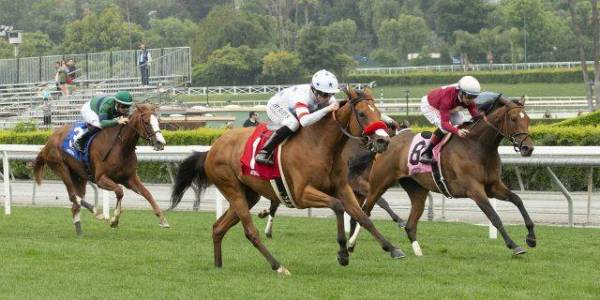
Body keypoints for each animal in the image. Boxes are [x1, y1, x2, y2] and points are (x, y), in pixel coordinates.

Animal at [32, 102, 169, 236]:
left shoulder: (130, 178)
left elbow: (147, 193)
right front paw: (114, 220)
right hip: (61, 167)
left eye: (158, 121)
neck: (121, 147)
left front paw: (163, 219)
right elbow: (119, 191)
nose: (160, 143)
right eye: (146, 122)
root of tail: (48, 143)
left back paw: (80, 232)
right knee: (73, 196)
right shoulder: (100, 179)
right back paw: (96, 212)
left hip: (79, 177)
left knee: (75, 204)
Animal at [170, 86, 408, 274]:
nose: (383, 140)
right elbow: (338, 206)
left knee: (218, 227)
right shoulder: (302, 194)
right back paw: (278, 266)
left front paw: (393, 248)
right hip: (233, 190)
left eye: (378, 112)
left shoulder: (343, 187)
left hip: (249, 195)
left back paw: (218, 265)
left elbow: (363, 217)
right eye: (361, 113)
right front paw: (342, 253)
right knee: (250, 232)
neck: (322, 145)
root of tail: (211, 149)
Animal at [352, 96, 536, 255]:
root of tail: (387, 141)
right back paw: (353, 245)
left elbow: (518, 200)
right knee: (365, 211)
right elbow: (494, 217)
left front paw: (531, 238)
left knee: (410, 225)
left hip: (417, 189)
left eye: (528, 120)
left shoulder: (493, 186)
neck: (477, 145)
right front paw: (514, 245)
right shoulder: (474, 190)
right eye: (513, 118)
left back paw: (418, 253)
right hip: (379, 184)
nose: (528, 148)